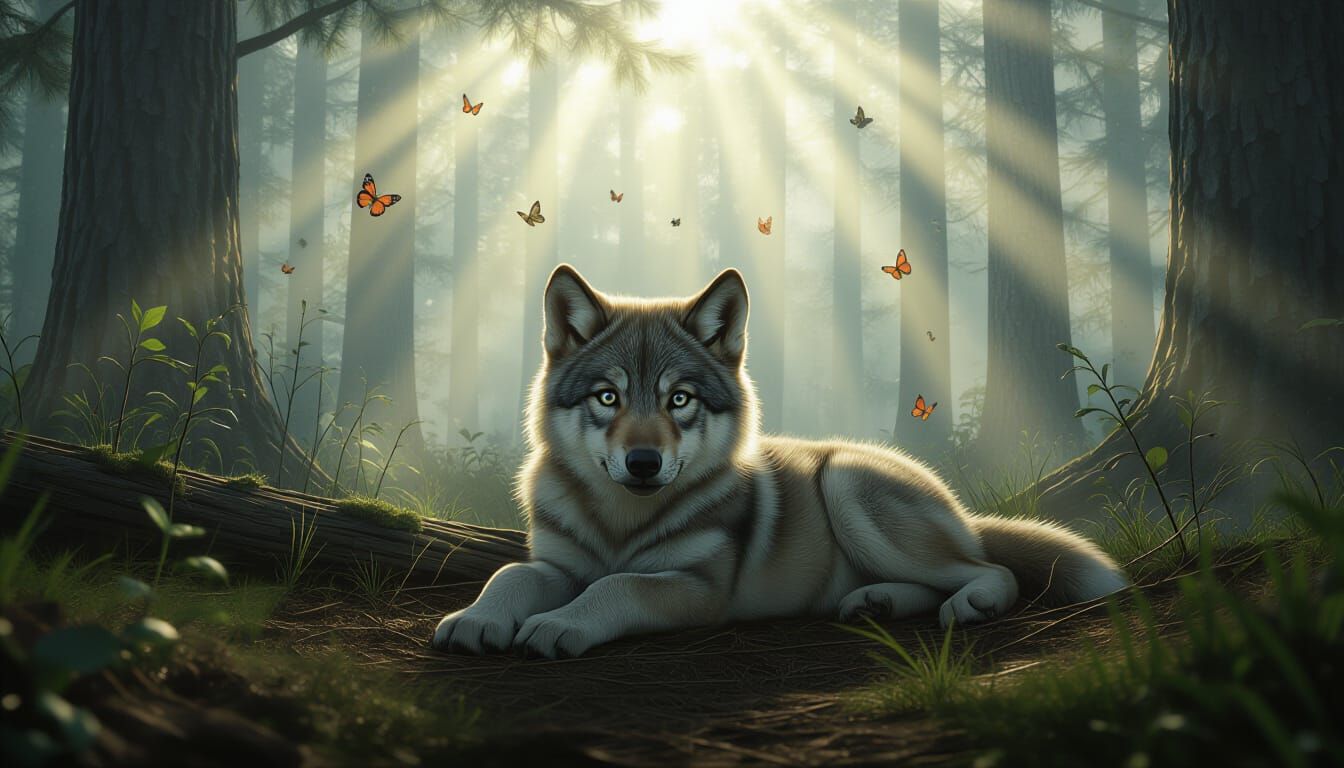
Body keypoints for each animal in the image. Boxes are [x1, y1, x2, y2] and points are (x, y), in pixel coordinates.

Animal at [432, 265, 1128, 658]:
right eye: (609, 397)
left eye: (679, 399)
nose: (643, 462)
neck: (620, 523)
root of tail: (956, 506)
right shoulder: (556, 564)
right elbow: (510, 575)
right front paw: (475, 619)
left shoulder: (697, 589)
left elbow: (614, 585)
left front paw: (556, 626)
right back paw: (876, 602)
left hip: (847, 485)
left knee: (989, 570)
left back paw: (971, 603)